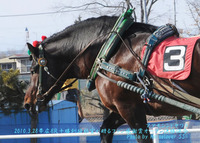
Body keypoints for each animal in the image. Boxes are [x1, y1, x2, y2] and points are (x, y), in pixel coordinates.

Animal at [24, 15, 200, 142]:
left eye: (32, 70)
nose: (27, 103)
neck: (112, 51)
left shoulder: (129, 108)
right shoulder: (124, 108)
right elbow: (105, 130)